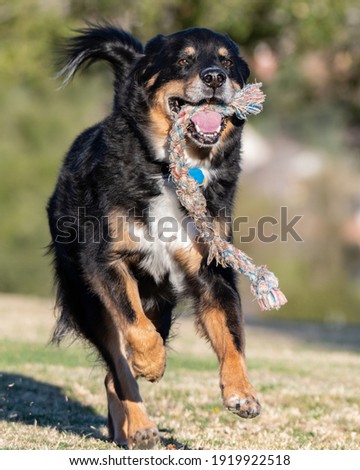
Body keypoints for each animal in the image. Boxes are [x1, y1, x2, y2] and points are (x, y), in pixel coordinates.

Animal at [47, 24, 262, 448]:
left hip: (160, 304)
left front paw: (241, 392)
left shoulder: (211, 267)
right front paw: (151, 362)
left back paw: (131, 429)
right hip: (88, 300)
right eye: (183, 60)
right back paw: (141, 422)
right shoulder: (105, 259)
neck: (171, 170)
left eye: (228, 62)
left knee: (113, 373)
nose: (215, 77)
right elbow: (135, 329)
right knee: (117, 362)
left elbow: (232, 333)